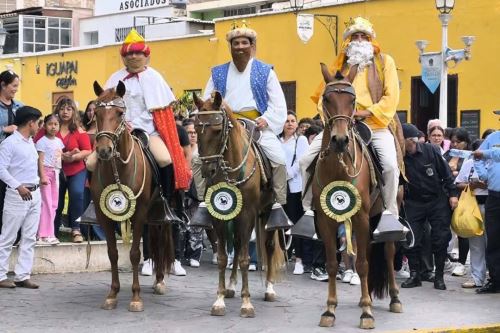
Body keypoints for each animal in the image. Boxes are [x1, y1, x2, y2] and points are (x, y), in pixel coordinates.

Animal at [91, 80, 175, 312]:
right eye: (96, 113)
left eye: (120, 113)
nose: (104, 150)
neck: (118, 168)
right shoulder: (104, 216)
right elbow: (113, 253)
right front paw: (112, 294)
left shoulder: (139, 213)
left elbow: (135, 254)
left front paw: (136, 297)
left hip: (158, 215)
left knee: (160, 242)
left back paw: (160, 281)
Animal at [192, 91, 286, 316]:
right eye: (197, 129)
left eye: (217, 130)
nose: (208, 171)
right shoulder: (219, 216)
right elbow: (223, 257)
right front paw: (219, 299)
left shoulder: (248, 214)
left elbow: (244, 258)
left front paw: (247, 302)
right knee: (235, 244)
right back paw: (231, 286)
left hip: (266, 211)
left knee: (269, 246)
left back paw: (269, 289)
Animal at [314, 64, 404, 326]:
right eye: (326, 98)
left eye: (352, 100)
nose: (340, 140)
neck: (338, 168)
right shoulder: (326, 219)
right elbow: (332, 264)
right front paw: (330, 310)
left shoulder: (361, 217)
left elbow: (362, 264)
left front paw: (366, 313)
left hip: (385, 212)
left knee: (387, 252)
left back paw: (394, 298)